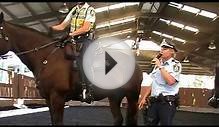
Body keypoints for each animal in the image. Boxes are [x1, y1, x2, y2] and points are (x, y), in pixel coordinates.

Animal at [0, 12, 142, 124]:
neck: (46, 57)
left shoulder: (57, 97)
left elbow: (58, 122)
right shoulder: (48, 99)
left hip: (132, 96)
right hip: (114, 96)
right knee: (118, 119)